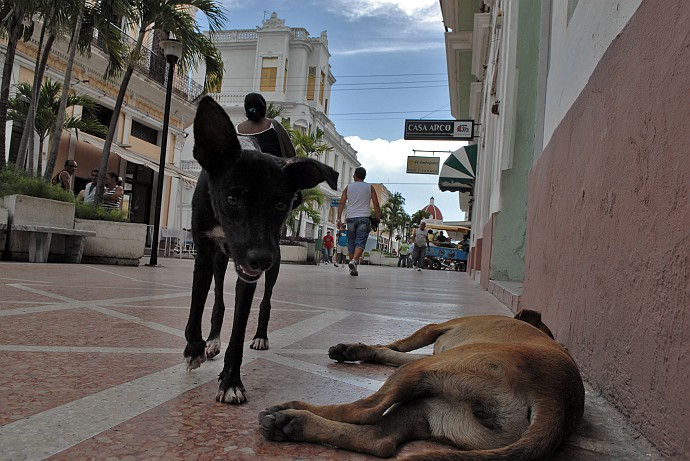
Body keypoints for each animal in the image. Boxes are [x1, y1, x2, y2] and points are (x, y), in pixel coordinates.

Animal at [181, 96, 334, 402]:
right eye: (232, 198)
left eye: (280, 205)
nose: (260, 259)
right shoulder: (204, 251)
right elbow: (197, 304)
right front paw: (194, 348)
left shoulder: (251, 272)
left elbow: (240, 329)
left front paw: (230, 381)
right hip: (221, 261)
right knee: (218, 300)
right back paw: (212, 341)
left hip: (274, 263)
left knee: (265, 302)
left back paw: (260, 335)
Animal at [258, 310, 580, 460]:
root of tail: (556, 398)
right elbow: (391, 351)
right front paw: (355, 350)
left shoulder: (436, 329)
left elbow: (400, 344)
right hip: (433, 408)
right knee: (380, 439)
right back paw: (291, 425)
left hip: (423, 371)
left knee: (363, 411)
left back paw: (292, 410)